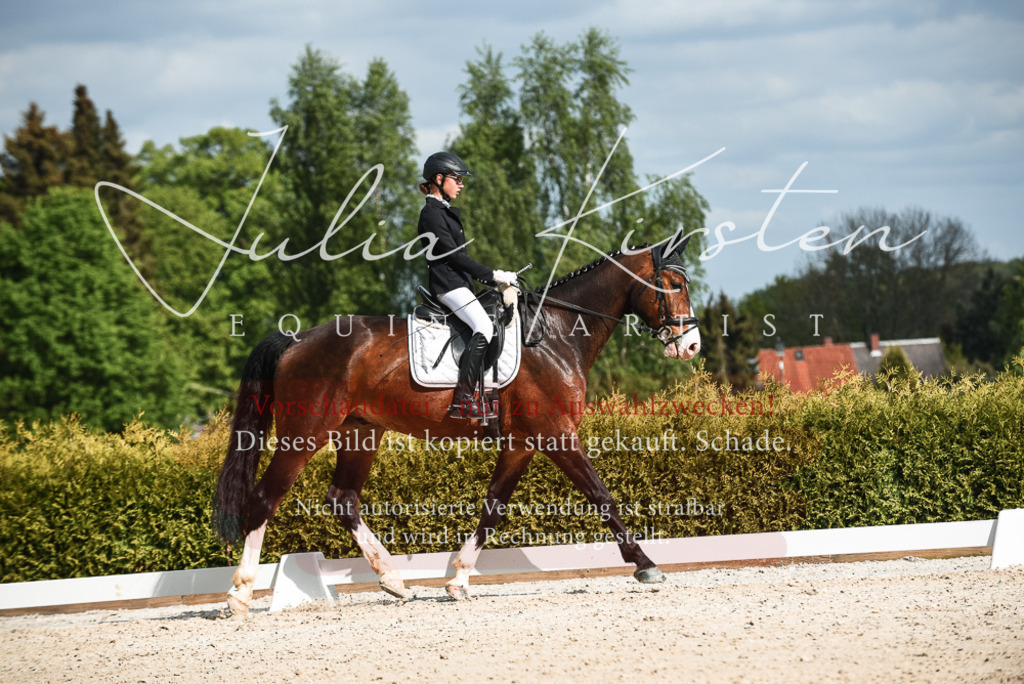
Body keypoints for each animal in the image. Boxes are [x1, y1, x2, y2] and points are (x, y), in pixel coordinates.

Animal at [213, 237, 701, 614]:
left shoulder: (522, 444)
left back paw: (393, 580)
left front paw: (459, 578)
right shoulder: (556, 434)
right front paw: (645, 565)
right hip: (305, 433)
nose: (692, 345)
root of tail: (296, 339)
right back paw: (239, 594)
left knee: (342, 499)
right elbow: (601, 495)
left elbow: (493, 507)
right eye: (675, 285)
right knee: (265, 499)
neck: (558, 335)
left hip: (360, 431)